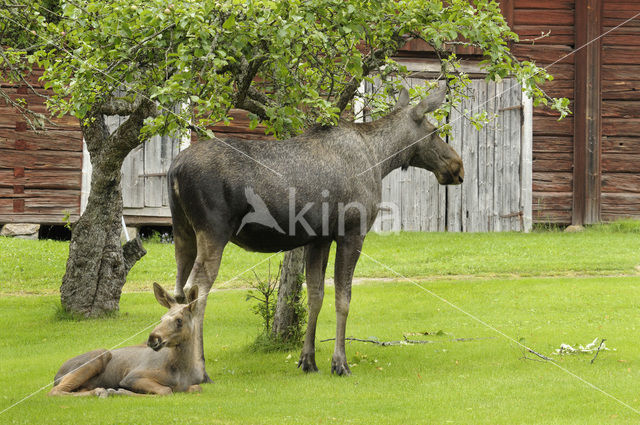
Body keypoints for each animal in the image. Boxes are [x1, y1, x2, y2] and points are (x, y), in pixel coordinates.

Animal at [168, 84, 462, 376]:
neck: (380, 159)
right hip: (213, 232)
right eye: (435, 130)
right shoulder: (352, 232)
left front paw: (307, 360)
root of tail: (174, 169)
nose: (457, 165)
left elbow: (315, 296)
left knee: (178, 289)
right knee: (197, 290)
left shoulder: (318, 238)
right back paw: (199, 366)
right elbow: (343, 298)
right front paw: (339, 362)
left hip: (182, 231)